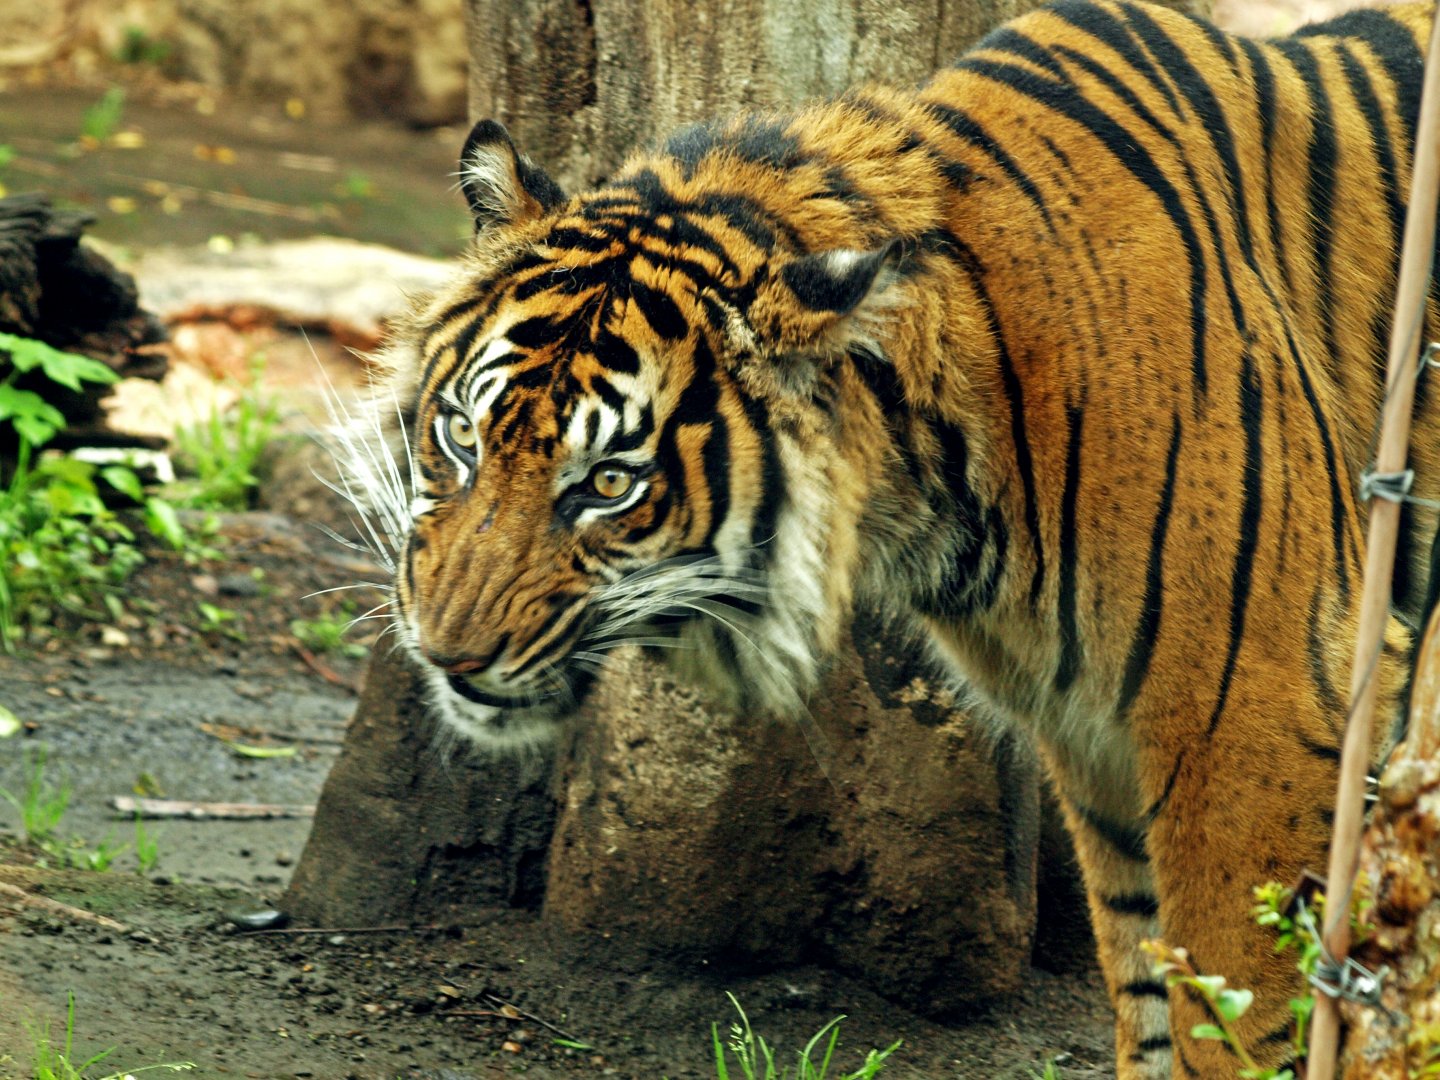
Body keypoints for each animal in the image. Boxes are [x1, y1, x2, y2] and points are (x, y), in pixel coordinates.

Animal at [347, 1, 1440, 1076]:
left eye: (609, 484)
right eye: (462, 434)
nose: (444, 655)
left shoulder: (1255, 719)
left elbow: (1239, 1021)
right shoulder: (1100, 748)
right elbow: (1150, 1003)